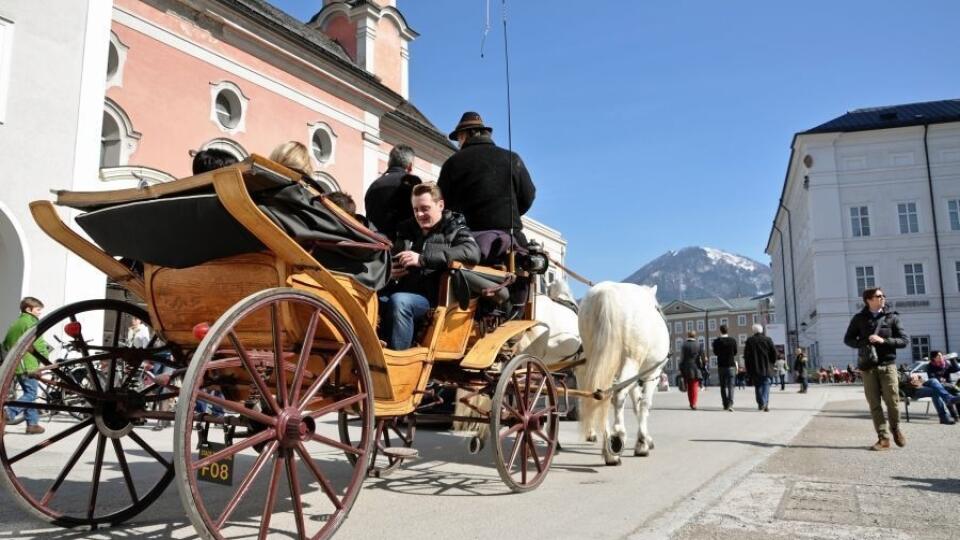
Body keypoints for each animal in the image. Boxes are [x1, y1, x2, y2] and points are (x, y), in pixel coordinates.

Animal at [576, 282, 668, 464]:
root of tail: (606, 292)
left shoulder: (632, 378)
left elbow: (636, 403)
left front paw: (645, 439)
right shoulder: (651, 374)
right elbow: (644, 404)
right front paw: (642, 443)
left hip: (596, 360)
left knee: (600, 396)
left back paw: (609, 451)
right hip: (631, 361)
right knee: (616, 395)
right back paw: (617, 436)